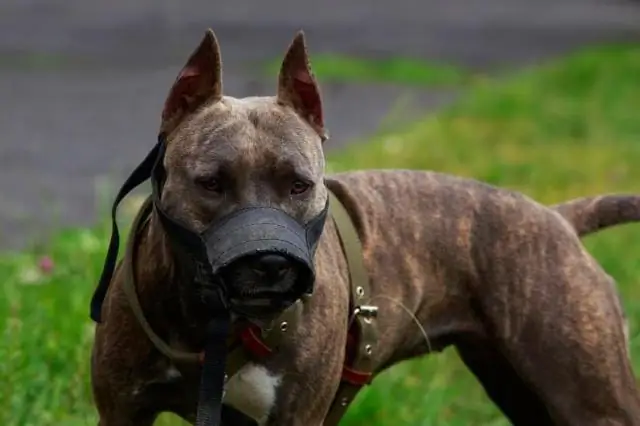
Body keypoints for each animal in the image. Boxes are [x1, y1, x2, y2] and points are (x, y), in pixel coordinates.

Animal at [89, 28, 640, 424]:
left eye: (300, 185)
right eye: (211, 184)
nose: (270, 263)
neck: (210, 319)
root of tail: (557, 219)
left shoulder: (296, 417)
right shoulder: (123, 410)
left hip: (590, 395)